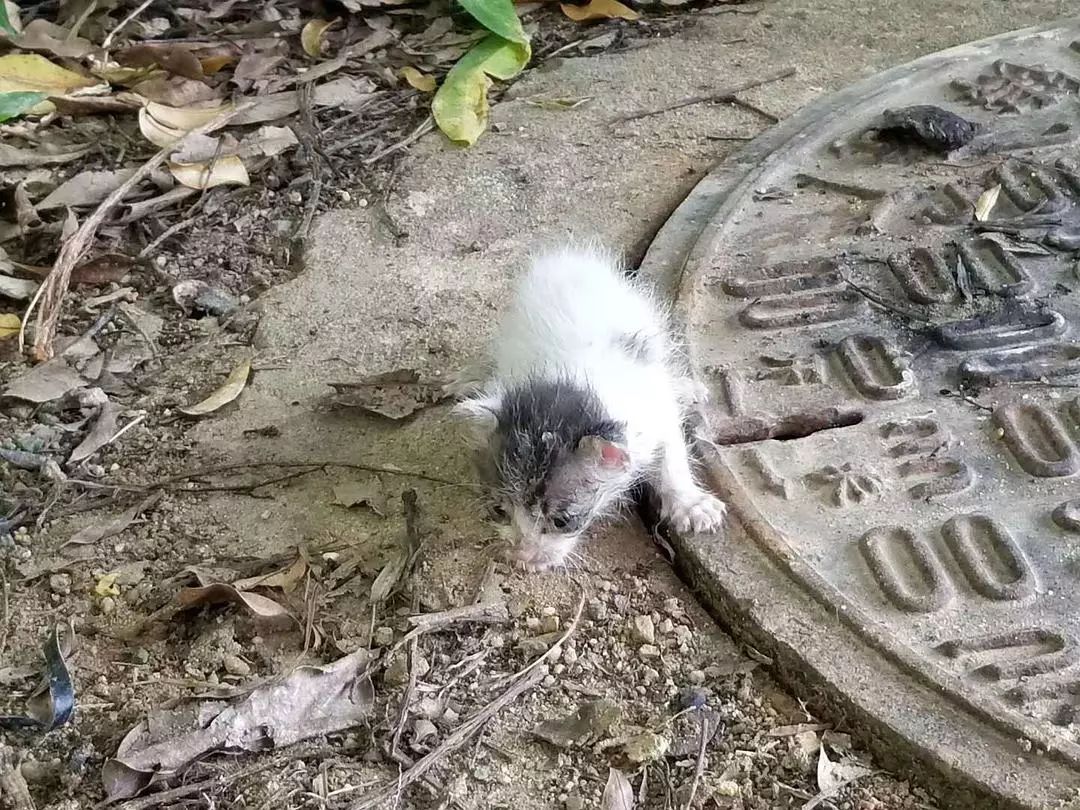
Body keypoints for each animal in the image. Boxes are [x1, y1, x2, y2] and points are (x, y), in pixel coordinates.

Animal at [447, 246, 725, 570]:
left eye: (563, 520)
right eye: (498, 510)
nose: (524, 557)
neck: (569, 378)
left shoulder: (653, 413)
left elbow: (672, 459)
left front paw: (692, 505)